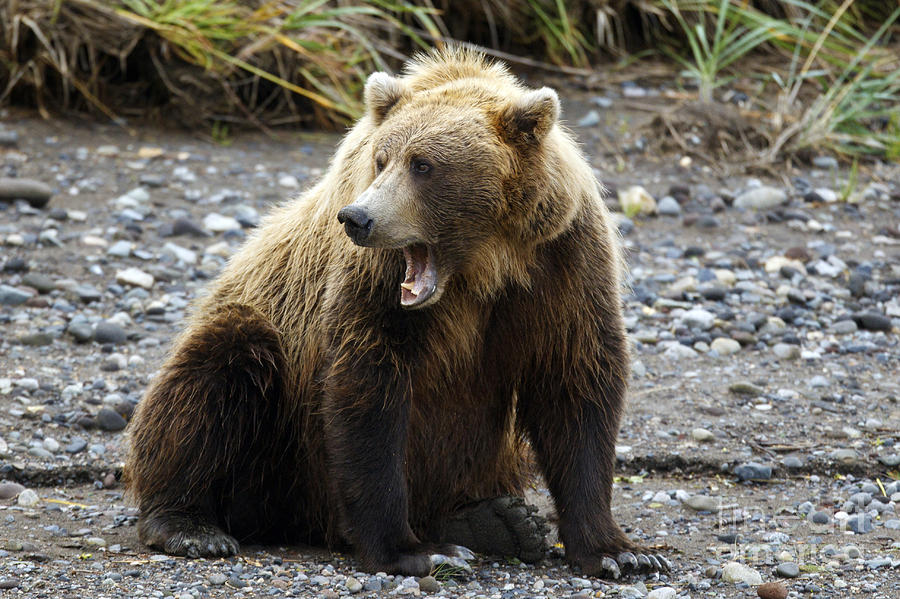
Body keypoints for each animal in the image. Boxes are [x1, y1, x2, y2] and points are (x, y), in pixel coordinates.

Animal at [123, 48, 668, 580]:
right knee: (219, 368)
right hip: (277, 430)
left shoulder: (563, 262)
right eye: (382, 158)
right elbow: (369, 391)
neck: (481, 267)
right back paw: (188, 523)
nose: (357, 218)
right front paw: (415, 551)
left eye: (423, 164)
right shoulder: (374, 285)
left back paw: (499, 522)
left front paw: (620, 551)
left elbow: (576, 384)